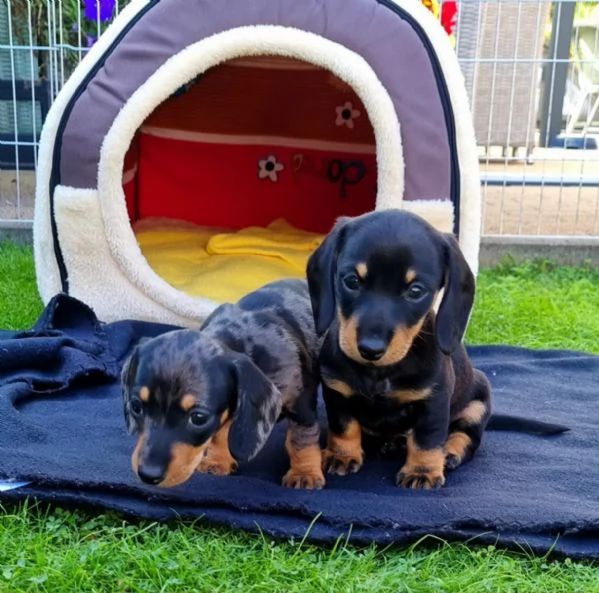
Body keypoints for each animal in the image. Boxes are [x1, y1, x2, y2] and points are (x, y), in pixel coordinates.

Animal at [121, 278, 326, 490]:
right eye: (136, 407)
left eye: (198, 418)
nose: (148, 475)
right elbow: (220, 435)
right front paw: (217, 461)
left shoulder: (301, 405)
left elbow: (301, 439)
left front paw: (304, 473)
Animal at [308, 210, 568, 488]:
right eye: (352, 281)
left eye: (416, 290)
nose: (370, 349)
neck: (380, 373)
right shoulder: (337, 393)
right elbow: (344, 428)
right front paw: (342, 456)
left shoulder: (434, 400)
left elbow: (427, 439)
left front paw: (421, 471)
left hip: (478, 402)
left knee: (466, 437)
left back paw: (449, 453)